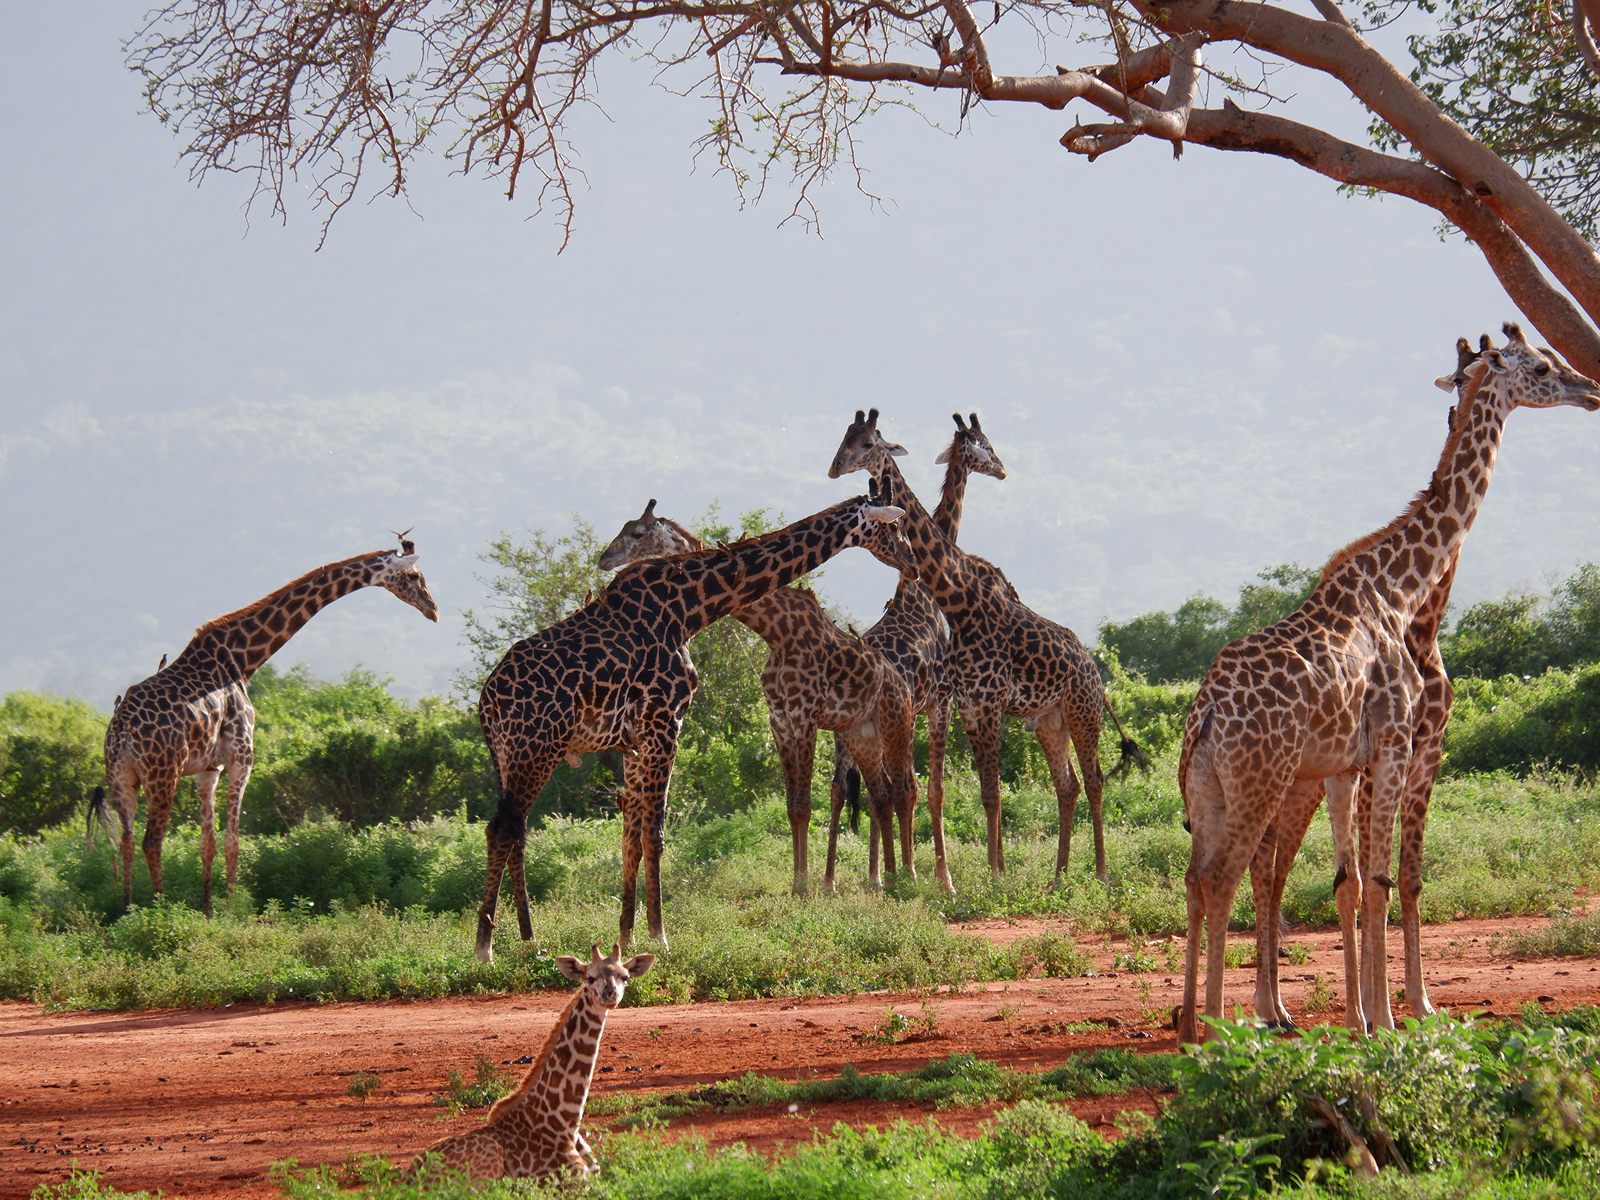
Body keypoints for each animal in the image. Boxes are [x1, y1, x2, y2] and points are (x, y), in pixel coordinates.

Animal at [92, 543, 439, 915]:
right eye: (414, 575)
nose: (433, 610)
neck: (243, 659)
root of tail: (122, 731)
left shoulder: (209, 769)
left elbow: (207, 842)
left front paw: (208, 911)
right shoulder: (242, 757)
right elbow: (233, 841)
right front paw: (231, 910)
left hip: (122, 777)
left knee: (126, 842)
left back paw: (128, 910)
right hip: (163, 773)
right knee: (151, 841)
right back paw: (159, 911)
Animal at [595, 501, 919, 892]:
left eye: (637, 533)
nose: (605, 558)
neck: (775, 631)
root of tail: (902, 683)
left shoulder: (805, 716)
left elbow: (805, 803)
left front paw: (804, 887)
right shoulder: (778, 719)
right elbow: (793, 806)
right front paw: (798, 885)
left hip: (896, 722)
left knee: (907, 789)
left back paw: (914, 878)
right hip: (861, 734)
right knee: (883, 793)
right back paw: (886, 879)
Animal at [829, 409, 1144, 883]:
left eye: (866, 443)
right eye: (847, 439)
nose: (1002, 468)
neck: (956, 599)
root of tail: (1094, 669)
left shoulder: (978, 702)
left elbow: (980, 792)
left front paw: (991, 874)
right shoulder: (967, 703)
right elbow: (980, 792)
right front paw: (989, 873)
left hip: (1079, 711)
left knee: (1093, 780)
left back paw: (1098, 875)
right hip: (1049, 720)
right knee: (1067, 784)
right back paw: (1057, 876)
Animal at [1176, 324, 1599, 1043]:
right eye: (1543, 367)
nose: (1591, 388)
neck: (1400, 590)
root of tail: (1204, 718)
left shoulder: (1356, 760)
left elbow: (1363, 880)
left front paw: (1375, 1015)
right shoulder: (1397, 745)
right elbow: (1380, 879)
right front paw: (1388, 1018)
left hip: (1209, 790)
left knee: (1197, 879)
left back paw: (1190, 1025)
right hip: (1263, 780)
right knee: (1229, 877)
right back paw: (1218, 1031)